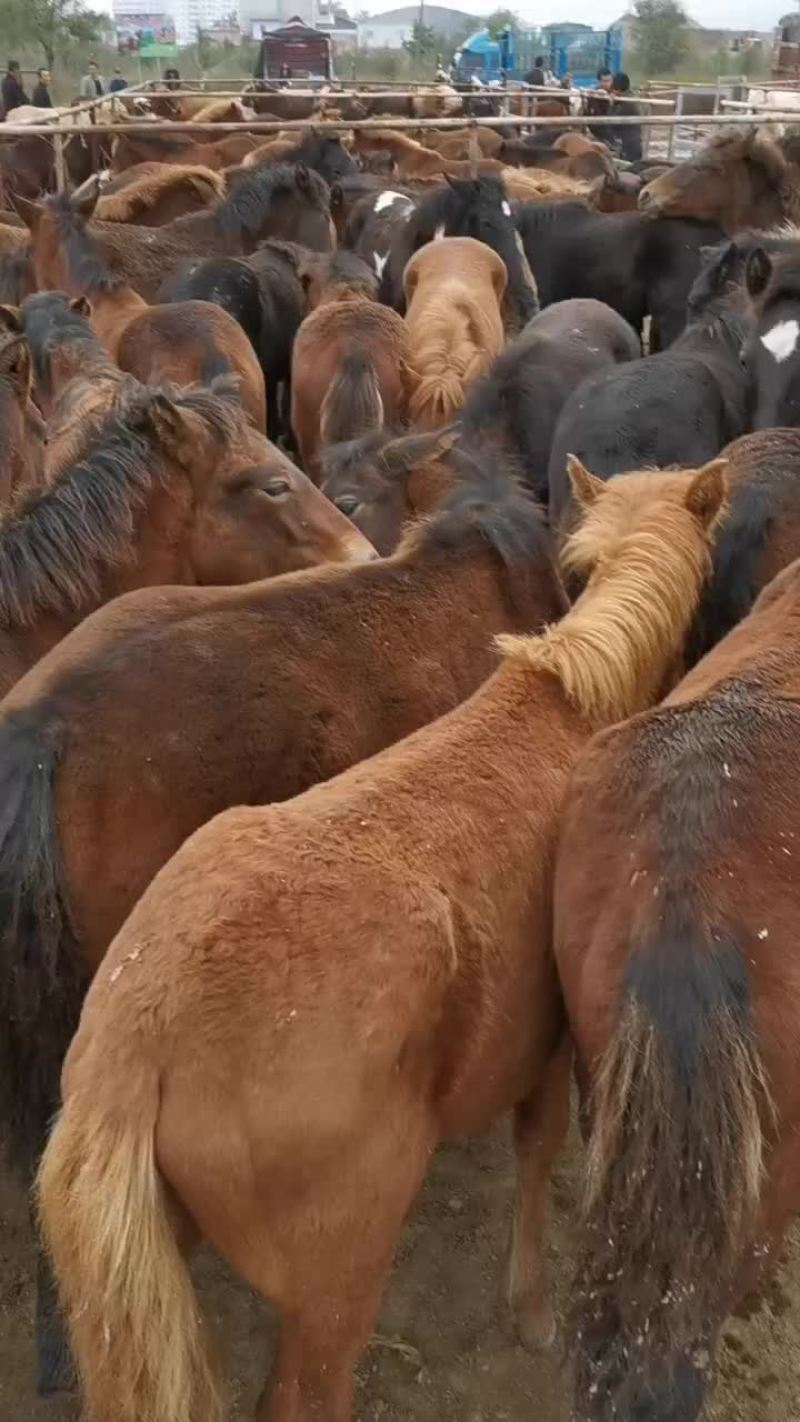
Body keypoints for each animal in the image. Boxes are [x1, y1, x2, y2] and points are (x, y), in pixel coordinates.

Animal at [36, 455, 727, 1422]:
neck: (569, 705)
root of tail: (137, 1044)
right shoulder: (549, 1051)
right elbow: (538, 1149)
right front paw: (532, 1308)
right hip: (337, 1288)